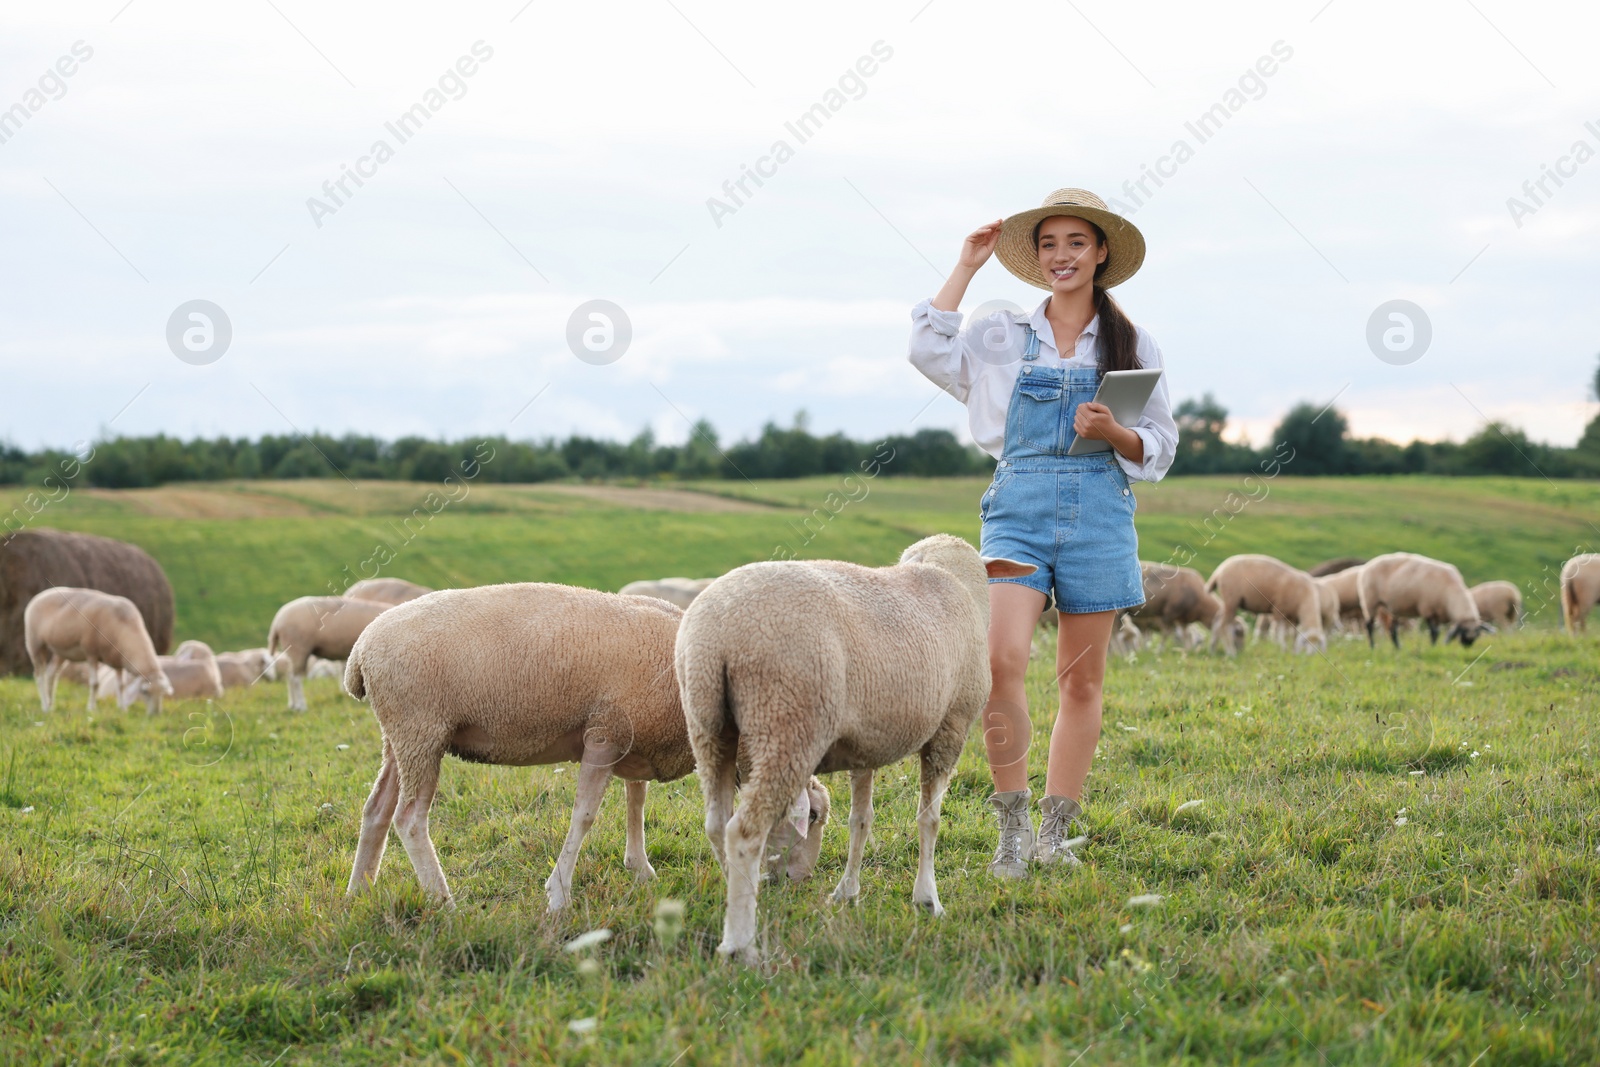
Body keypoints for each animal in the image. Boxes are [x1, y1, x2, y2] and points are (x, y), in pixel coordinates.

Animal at [23, 588, 172, 713]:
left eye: (162, 694)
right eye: (145, 692)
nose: (156, 714)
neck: (125, 625)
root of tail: (40, 595)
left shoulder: (118, 661)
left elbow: (121, 685)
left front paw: (122, 708)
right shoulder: (91, 653)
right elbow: (95, 684)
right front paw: (91, 708)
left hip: (61, 651)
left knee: (51, 674)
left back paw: (51, 704)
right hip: (35, 643)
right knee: (40, 675)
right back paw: (44, 706)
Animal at [265, 598, 393, 713]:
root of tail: (277, 622)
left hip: (291, 651)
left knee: (290, 677)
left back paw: (293, 705)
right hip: (298, 648)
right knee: (296, 679)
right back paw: (301, 706)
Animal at [344, 579, 832, 915]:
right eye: (811, 816)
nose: (801, 882)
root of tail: (361, 650)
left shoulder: (635, 735)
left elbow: (636, 801)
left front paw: (639, 868)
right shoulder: (604, 733)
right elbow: (585, 815)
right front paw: (558, 894)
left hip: (400, 736)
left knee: (377, 809)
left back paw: (358, 892)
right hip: (421, 729)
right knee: (409, 819)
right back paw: (443, 899)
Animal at [678, 534, 1036, 966]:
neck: (945, 574)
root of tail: (718, 632)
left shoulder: (866, 744)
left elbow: (860, 821)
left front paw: (847, 892)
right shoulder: (951, 726)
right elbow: (929, 820)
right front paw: (927, 900)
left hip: (708, 726)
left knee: (716, 823)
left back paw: (739, 900)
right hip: (787, 721)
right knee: (744, 832)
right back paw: (740, 945)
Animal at [1356, 556, 1491, 646]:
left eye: (1477, 634)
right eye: (1463, 632)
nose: (1467, 645)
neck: (1451, 592)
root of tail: (1369, 564)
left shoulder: (1437, 614)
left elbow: (1436, 632)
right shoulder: (1428, 609)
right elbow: (1434, 632)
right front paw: (1433, 648)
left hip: (1390, 608)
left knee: (1392, 630)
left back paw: (1398, 648)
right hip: (1370, 601)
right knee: (1369, 626)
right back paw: (1372, 646)